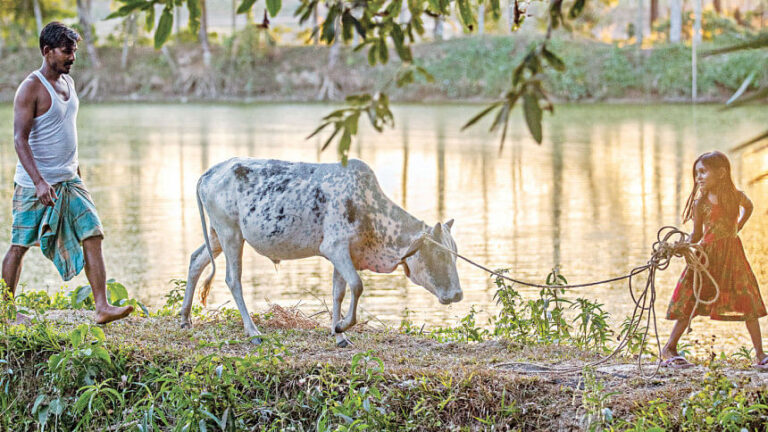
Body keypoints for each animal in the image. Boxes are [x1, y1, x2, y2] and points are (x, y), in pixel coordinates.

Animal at [182, 157, 462, 346]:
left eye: (455, 253)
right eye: (439, 254)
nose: (457, 294)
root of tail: (209, 172)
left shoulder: (344, 254)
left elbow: (338, 292)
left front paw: (339, 334)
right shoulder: (335, 247)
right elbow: (357, 285)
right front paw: (342, 326)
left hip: (217, 235)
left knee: (196, 260)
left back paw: (185, 318)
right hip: (230, 233)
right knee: (233, 279)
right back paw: (252, 332)